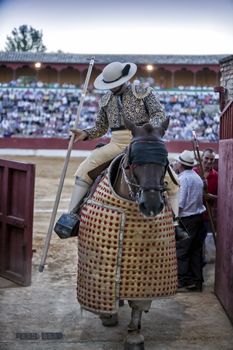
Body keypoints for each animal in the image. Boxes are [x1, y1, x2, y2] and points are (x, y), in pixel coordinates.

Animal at [76, 118, 177, 350]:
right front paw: (108, 315)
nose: (151, 205)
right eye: (132, 163)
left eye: (164, 162)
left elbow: (139, 301)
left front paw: (133, 335)